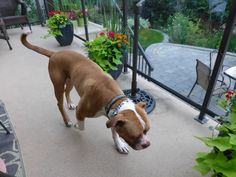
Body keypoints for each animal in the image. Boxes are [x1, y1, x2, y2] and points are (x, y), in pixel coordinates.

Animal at [20, 33, 151, 153]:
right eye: (135, 135)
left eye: (146, 131)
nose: (147, 144)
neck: (114, 99)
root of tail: (55, 54)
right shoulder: (81, 111)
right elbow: (82, 127)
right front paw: (77, 125)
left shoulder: (114, 117)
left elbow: (114, 132)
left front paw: (119, 144)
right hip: (58, 85)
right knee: (59, 103)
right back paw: (67, 120)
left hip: (71, 81)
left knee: (67, 92)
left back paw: (70, 103)